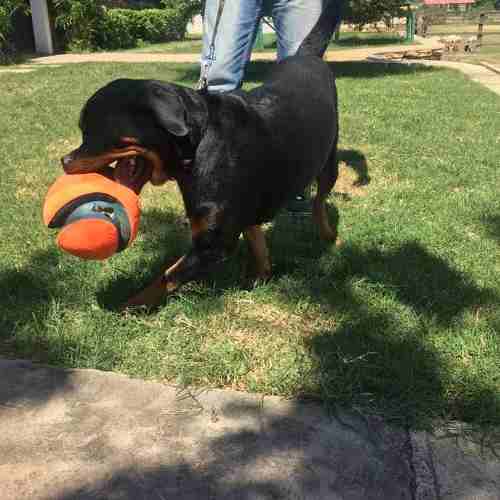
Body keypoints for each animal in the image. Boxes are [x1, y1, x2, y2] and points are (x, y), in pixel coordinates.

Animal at [58, 1, 340, 308]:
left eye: (92, 131)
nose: (64, 161)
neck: (197, 146)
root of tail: (306, 57)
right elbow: (256, 241)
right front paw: (260, 275)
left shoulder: (212, 243)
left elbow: (167, 275)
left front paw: (130, 305)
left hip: (329, 162)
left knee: (320, 201)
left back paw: (328, 234)